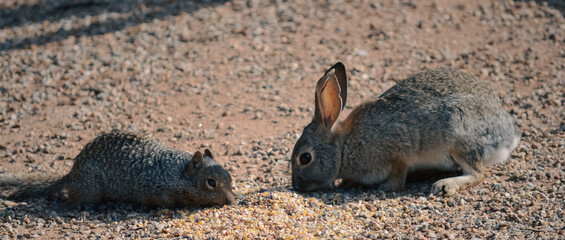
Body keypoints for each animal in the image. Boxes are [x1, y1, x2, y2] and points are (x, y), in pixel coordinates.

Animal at [1, 132, 235, 207]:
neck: (176, 172)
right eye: (211, 182)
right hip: (91, 189)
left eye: (230, 177)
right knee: (73, 197)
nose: (231, 200)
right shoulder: (152, 190)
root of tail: (72, 173)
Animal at [294, 62, 516, 196]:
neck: (344, 148)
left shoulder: (397, 153)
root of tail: (507, 137)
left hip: (460, 136)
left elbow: (398, 175)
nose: (296, 186)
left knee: (478, 173)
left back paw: (444, 185)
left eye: (305, 158)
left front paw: (385, 187)